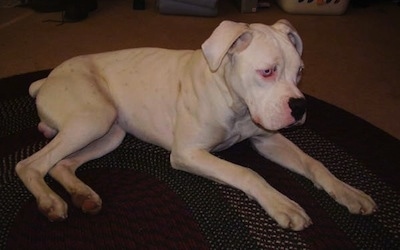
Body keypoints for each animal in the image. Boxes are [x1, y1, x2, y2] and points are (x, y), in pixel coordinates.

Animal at [15, 19, 376, 230]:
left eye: (299, 72)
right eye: (267, 72)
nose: (300, 106)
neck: (234, 101)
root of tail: (48, 78)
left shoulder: (269, 139)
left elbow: (314, 164)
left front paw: (348, 192)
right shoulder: (189, 154)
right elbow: (247, 172)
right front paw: (282, 203)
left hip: (110, 132)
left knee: (61, 164)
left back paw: (83, 195)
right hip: (94, 118)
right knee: (30, 164)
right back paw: (50, 201)